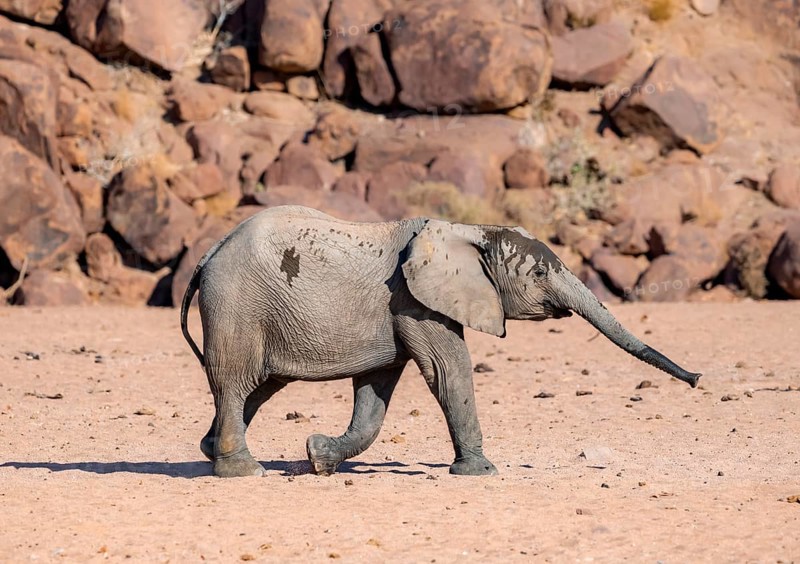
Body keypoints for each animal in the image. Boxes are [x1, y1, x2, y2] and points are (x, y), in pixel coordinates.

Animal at [180, 205, 701, 478]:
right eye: (537, 274)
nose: (697, 380)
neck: (470, 229)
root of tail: (210, 252)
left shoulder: (397, 310)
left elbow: (374, 395)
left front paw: (317, 456)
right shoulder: (415, 301)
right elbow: (449, 370)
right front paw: (481, 473)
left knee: (257, 388)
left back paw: (211, 451)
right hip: (237, 303)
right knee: (235, 382)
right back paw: (243, 470)